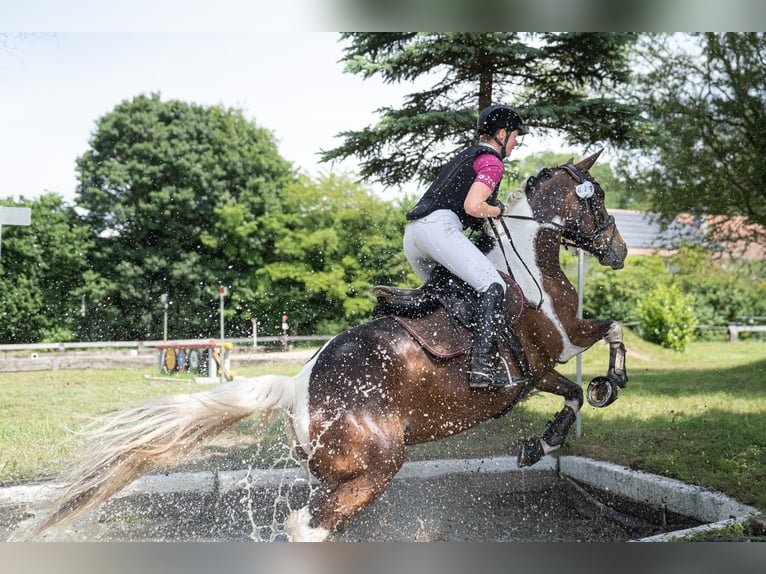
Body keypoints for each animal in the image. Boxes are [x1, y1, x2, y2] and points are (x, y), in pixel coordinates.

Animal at [18, 149, 628, 542]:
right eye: (598, 202)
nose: (619, 252)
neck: (529, 263)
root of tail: (296, 386)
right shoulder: (560, 342)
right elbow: (609, 332)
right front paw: (609, 384)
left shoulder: (539, 368)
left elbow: (574, 389)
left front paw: (541, 442)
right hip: (376, 467)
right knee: (306, 529)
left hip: (340, 475)